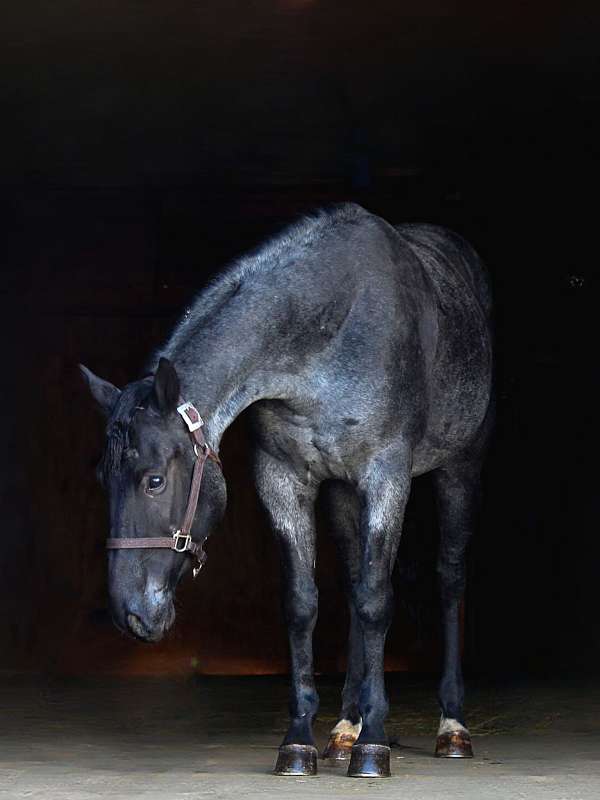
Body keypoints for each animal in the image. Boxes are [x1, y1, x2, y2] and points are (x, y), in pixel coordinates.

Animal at [82, 203, 494, 780]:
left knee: (448, 578)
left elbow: (376, 601)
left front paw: (376, 745)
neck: (325, 339)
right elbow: (304, 603)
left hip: (460, 468)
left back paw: (451, 727)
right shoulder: (282, 478)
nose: (130, 614)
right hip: (342, 492)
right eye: (103, 479)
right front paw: (301, 740)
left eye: (154, 480)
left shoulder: (386, 475)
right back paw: (345, 729)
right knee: (352, 582)